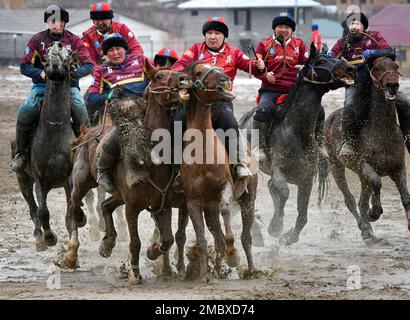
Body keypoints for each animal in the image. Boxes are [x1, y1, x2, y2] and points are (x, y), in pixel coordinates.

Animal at [10, 42, 85, 251]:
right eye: (47, 49)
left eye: (70, 52)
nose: (57, 45)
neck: (54, 128)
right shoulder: (40, 179)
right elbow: (43, 211)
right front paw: (50, 237)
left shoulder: (69, 179)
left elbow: (71, 211)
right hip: (23, 180)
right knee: (33, 207)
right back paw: (39, 237)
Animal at [62, 60, 191, 280]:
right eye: (159, 76)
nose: (183, 78)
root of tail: (87, 133)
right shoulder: (132, 208)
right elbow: (135, 242)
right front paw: (135, 274)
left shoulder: (161, 204)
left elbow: (167, 239)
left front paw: (154, 253)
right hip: (81, 183)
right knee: (73, 209)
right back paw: (71, 255)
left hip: (118, 194)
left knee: (105, 206)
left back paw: (107, 244)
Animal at [181, 61, 258, 282]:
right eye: (199, 71)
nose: (224, 78)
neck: (203, 152)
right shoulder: (193, 201)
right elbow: (202, 239)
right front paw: (204, 276)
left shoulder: (226, 188)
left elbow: (226, 212)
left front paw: (232, 255)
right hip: (210, 208)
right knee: (217, 236)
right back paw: (216, 269)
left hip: (248, 199)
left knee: (246, 237)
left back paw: (251, 269)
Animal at [239, 43, 358, 245]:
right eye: (321, 61)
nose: (351, 68)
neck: (296, 131)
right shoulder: (279, 171)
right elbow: (284, 193)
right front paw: (275, 227)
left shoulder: (306, 179)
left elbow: (302, 215)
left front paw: (288, 236)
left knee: (270, 188)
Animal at [322, 56, 408, 241]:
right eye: (376, 68)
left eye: (396, 67)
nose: (392, 85)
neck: (383, 131)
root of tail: (330, 118)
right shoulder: (363, 164)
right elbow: (377, 182)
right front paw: (374, 212)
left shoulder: (399, 168)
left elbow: (406, 198)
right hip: (336, 166)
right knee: (350, 200)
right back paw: (364, 228)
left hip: (360, 177)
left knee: (362, 201)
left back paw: (368, 230)